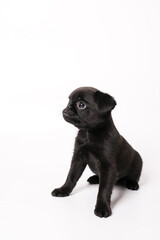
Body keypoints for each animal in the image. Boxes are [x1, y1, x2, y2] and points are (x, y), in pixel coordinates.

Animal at [51, 87, 142, 218]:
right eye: (69, 101)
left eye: (81, 105)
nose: (68, 106)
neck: (89, 133)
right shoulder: (78, 158)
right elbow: (71, 176)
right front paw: (63, 190)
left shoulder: (108, 167)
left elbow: (104, 189)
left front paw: (102, 207)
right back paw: (95, 178)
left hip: (138, 160)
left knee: (134, 175)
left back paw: (132, 183)